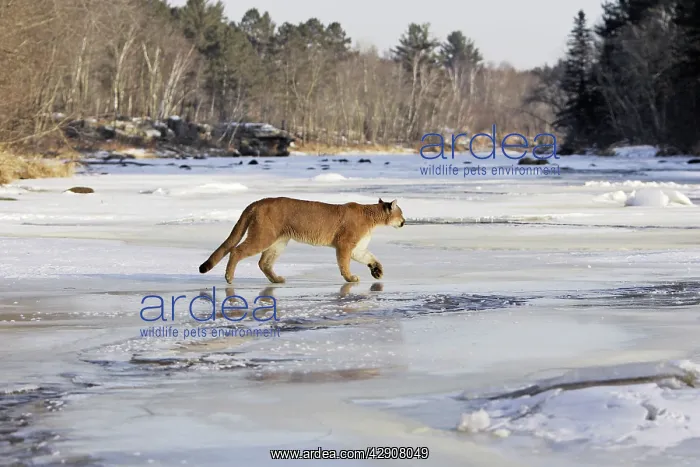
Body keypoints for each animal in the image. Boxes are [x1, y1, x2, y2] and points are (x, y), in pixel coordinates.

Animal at [198, 197, 405, 284]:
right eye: (401, 213)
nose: (404, 221)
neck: (372, 218)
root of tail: (257, 202)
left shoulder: (357, 248)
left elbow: (369, 257)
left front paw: (377, 271)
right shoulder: (345, 244)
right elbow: (344, 263)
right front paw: (350, 278)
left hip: (279, 241)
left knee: (264, 262)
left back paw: (277, 280)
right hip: (263, 236)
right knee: (237, 251)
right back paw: (229, 278)